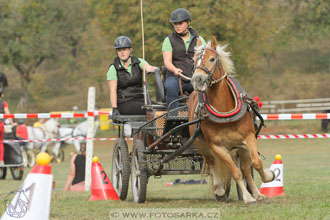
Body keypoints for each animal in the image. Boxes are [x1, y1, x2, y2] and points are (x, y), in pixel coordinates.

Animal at [187, 37, 274, 205]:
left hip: (240, 148)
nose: (197, 80)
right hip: (201, 145)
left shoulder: (248, 139)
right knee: (211, 162)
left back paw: (256, 193)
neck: (225, 113)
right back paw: (219, 189)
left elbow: (256, 163)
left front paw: (267, 178)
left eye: (212, 59)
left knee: (246, 168)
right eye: (193, 60)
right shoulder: (217, 147)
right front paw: (247, 197)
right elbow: (235, 171)